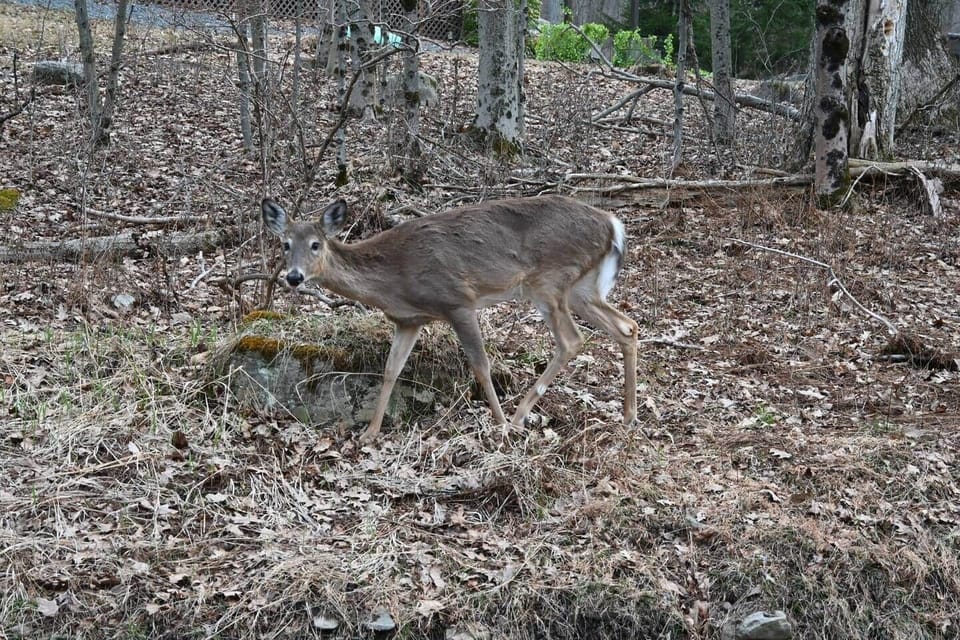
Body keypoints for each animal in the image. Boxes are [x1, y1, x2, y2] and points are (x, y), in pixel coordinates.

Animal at [261, 195, 638, 444]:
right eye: (284, 244)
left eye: (315, 244)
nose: (293, 277)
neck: (395, 279)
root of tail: (613, 224)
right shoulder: (409, 320)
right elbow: (391, 370)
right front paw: (370, 433)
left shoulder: (457, 301)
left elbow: (481, 366)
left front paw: (499, 425)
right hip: (581, 288)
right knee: (627, 327)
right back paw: (628, 416)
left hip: (550, 281)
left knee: (572, 340)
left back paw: (517, 418)